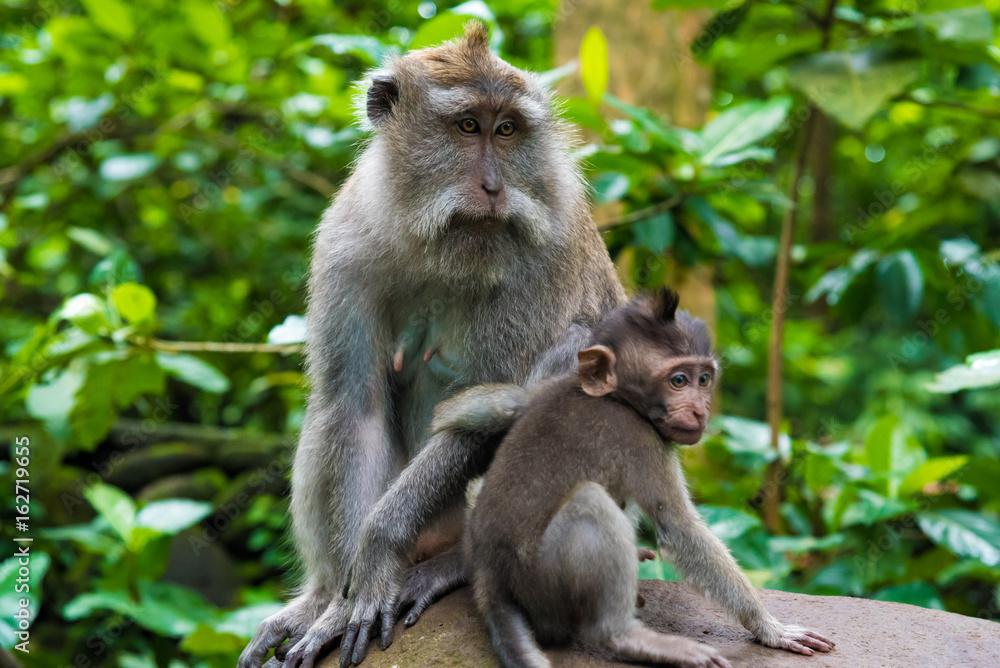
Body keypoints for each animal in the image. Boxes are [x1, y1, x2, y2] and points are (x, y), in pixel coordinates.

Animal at [238, 20, 620, 668]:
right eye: (468, 126)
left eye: (507, 130)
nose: (494, 186)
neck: (438, 244)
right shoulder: (345, 245)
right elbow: (355, 408)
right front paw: (340, 603)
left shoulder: (541, 258)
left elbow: (489, 412)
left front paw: (376, 554)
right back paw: (320, 596)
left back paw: (456, 565)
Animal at [464, 290, 832, 668]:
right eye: (679, 380)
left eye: (704, 379)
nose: (700, 410)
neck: (617, 397)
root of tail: (489, 576)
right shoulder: (638, 436)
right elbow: (680, 529)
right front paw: (770, 628)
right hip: (543, 588)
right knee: (590, 503)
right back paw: (626, 637)